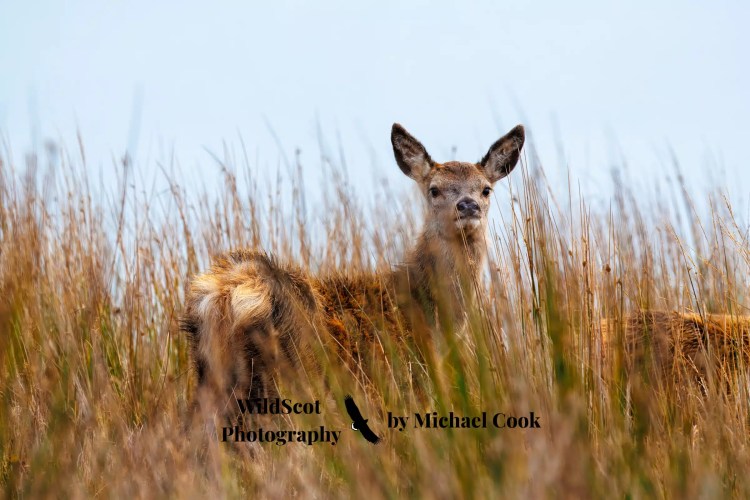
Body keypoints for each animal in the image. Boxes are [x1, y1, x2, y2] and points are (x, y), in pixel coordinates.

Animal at [180, 123, 526, 413]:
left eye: (486, 188)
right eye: (435, 189)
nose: (468, 205)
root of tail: (225, 294)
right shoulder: (406, 383)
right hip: (297, 375)